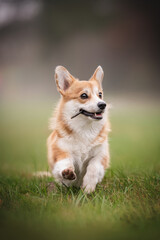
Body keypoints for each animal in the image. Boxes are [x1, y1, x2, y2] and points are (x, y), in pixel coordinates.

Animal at [47, 65, 110, 193]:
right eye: (84, 95)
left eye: (100, 94)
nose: (103, 104)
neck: (85, 129)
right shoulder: (60, 151)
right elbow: (65, 162)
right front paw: (67, 172)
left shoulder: (101, 155)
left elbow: (94, 167)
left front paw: (88, 186)